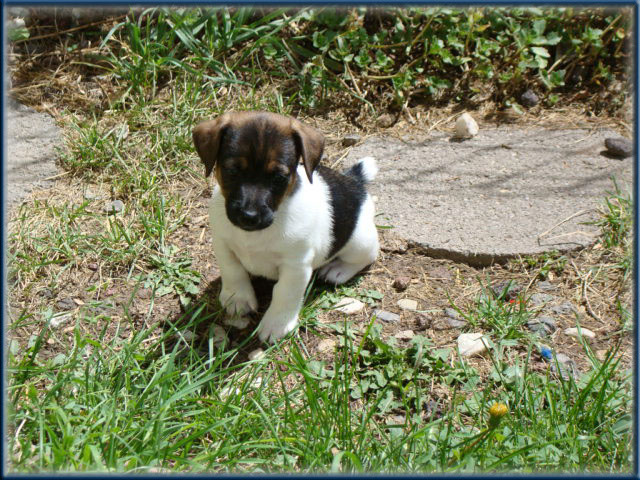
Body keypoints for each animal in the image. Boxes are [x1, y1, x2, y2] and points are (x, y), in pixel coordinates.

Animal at [192, 110, 378, 344]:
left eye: (279, 177)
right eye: (231, 170)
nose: (249, 216)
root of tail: (354, 181)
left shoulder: (295, 267)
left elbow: (284, 293)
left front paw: (276, 325)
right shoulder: (223, 244)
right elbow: (233, 270)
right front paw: (238, 298)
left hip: (360, 242)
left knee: (366, 256)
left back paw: (339, 270)